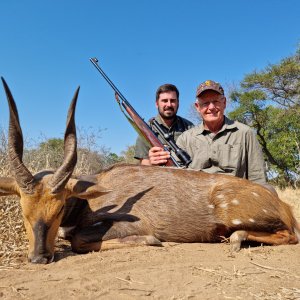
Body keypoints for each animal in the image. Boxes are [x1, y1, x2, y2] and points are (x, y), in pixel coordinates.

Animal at [0, 78, 298, 264]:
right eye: (23, 209)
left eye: (60, 206)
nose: (39, 257)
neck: (91, 197)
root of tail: (283, 206)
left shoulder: (129, 224)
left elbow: (78, 240)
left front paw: (152, 240)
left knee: (290, 235)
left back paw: (237, 239)